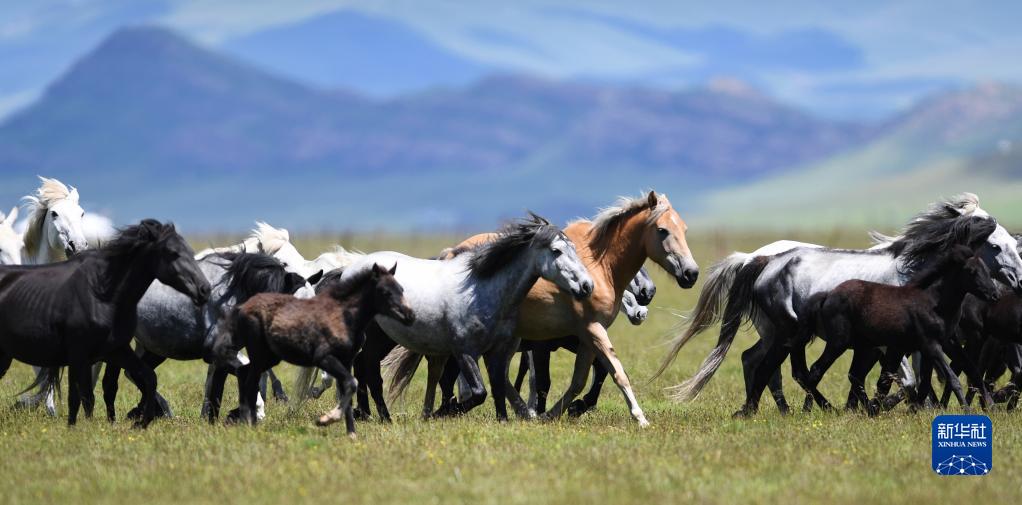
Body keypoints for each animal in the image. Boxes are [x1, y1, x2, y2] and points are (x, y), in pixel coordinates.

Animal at [0, 219, 211, 427]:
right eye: (172, 253)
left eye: (190, 251)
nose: (205, 289)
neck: (102, 294)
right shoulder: (78, 354)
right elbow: (78, 397)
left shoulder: (115, 350)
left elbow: (146, 377)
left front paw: (142, 421)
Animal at [104, 252, 318, 422]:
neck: (235, 294)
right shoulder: (217, 351)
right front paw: (251, 412)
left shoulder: (223, 355)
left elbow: (215, 390)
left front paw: (211, 421)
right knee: (115, 381)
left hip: (155, 348)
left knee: (133, 373)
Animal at [219, 263, 414, 436]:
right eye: (385, 292)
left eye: (401, 289)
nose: (410, 315)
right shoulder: (325, 358)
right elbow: (348, 383)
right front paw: (327, 417)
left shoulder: (347, 360)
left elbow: (349, 386)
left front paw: (349, 429)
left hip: (270, 356)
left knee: (245, 372)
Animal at [314, 212, 594, 424]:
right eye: (556, 251)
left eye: (574, 248)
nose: (586, 285)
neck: (481, 290)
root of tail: (346, 270)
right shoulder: (464, 351)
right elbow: (479, 392)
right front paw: (442, 412)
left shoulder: (497, 352)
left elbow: (498, 388)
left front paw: (502, 420)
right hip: (373, 338)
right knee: (369, 370)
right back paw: (382, 417)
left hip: (382, 339)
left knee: (365, 368)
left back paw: (377, 416)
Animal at [789, 243, 1000, 416]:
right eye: (971, 271)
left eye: (987, 270)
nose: (995, 295)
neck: (934, 303)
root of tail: (827, 295)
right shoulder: (931, 345)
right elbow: (953, 378)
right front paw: (966, 410)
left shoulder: (934, 346)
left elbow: (929, 381)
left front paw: (915, 410)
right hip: (838, 343)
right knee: (816, 370)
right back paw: (812, 409)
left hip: (863, 346)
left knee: (854, 376)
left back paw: (868, 409)